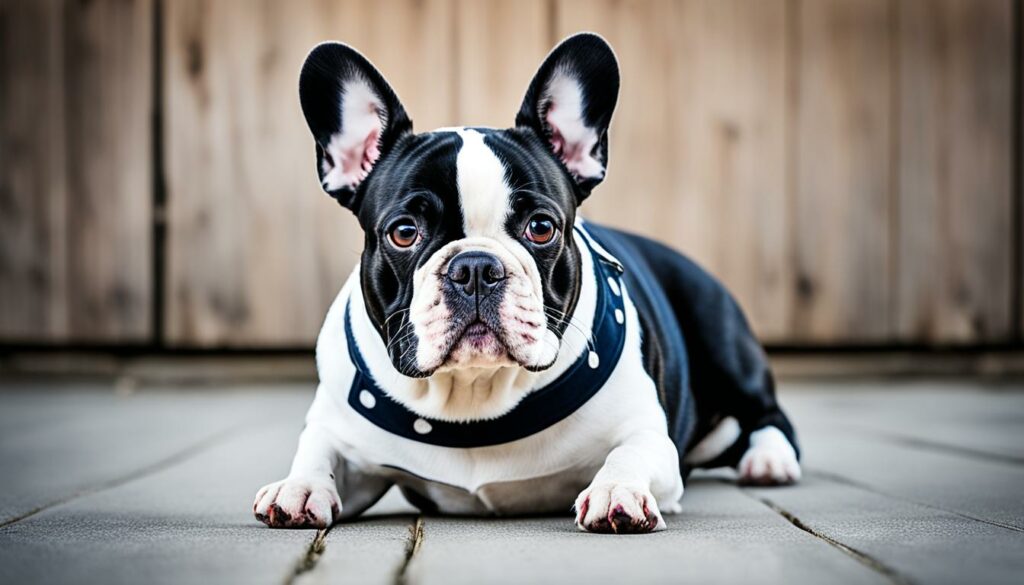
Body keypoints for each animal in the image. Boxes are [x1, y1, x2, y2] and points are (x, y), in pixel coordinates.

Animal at [256, 32, 798, 536]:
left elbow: (631, 452)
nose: (475, 267)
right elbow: (319, 451)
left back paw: (768, 460)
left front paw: (616, 490)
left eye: (541, 227)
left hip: (722, 337)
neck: (474, 395)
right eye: (404, 232)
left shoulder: (647, 432)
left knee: (769, 415)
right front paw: (298, 486)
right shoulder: (341, 437)